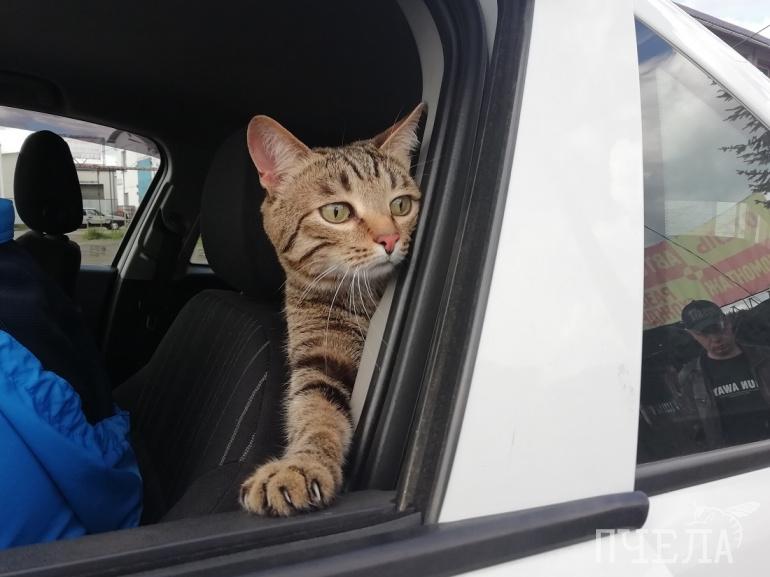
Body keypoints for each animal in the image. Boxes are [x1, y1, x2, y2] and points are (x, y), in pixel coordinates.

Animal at [239, 103, 425, 516]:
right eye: (337, 212)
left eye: (401, 204)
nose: (390, 238)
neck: (365, 296)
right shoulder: (319, 356)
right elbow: (317, 411)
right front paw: (300, 465)